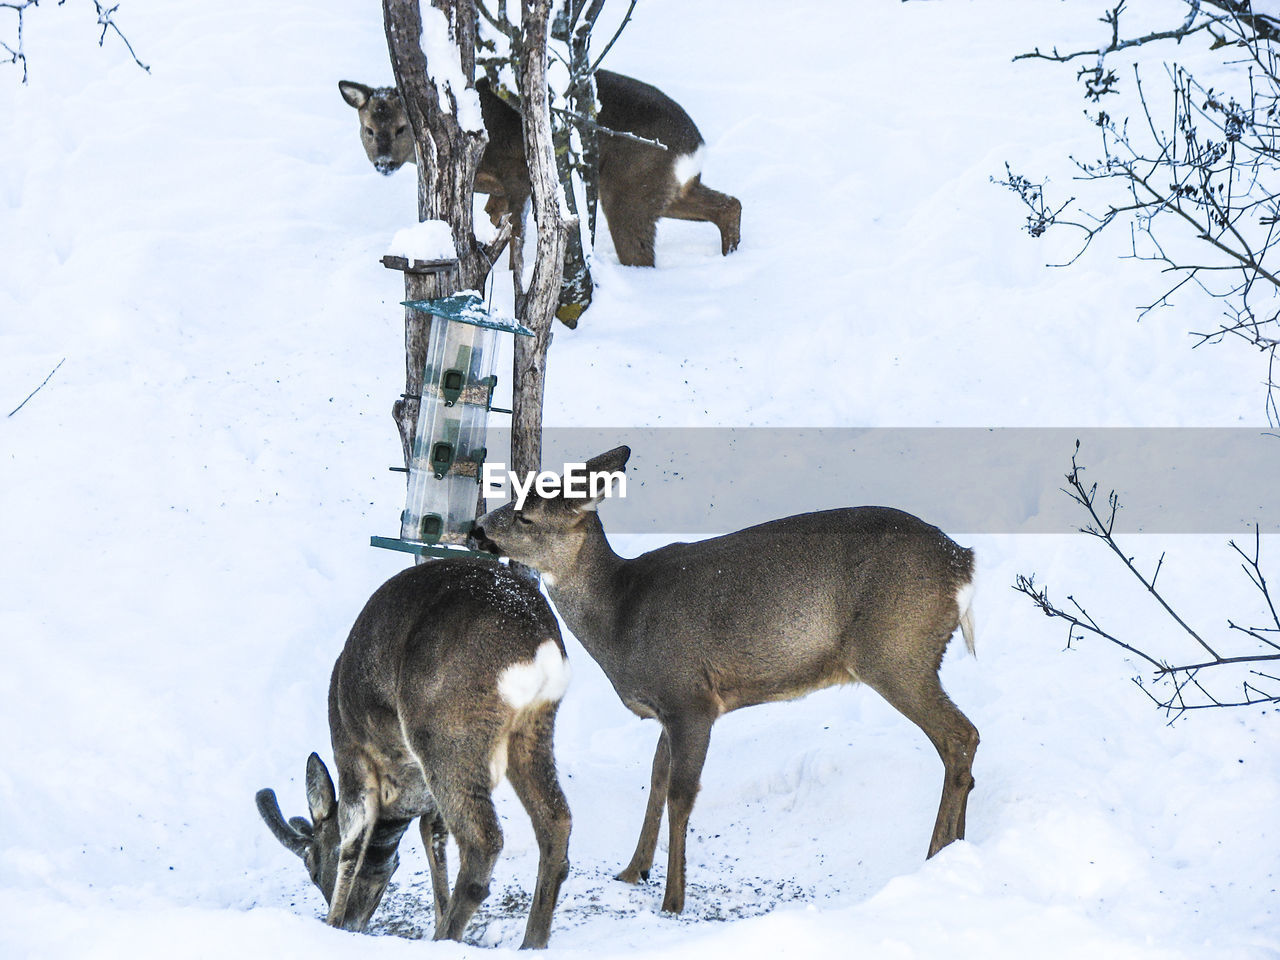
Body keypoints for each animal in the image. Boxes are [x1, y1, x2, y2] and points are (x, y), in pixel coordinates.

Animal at [254, 560, 570, 952]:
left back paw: (448, 937)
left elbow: (352, 840)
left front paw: (332, 925)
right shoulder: (425, 798)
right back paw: (531, 941)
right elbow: (432, 836)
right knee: (555, 818)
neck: (400, 791)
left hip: (446, 734)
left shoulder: (352, 756)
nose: (354, 921)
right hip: (533, 728)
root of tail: (538, 646)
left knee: (484, 838)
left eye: (312, 869)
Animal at [335, 70, 747, 268]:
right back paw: (732, 257)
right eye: (369, 129)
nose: (383, 162)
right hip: (666, 187)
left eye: (400, 128)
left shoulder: (516, 169)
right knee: (730, 204)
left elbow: (516, 231)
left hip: (628, 186)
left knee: (642, 253)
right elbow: (495, 219)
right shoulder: (498, 188)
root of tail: (694, 144)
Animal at [471, 450, 977, 916]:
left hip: (895, 651)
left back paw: (936, 853)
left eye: (526, 515)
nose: (476, 529)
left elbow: (680, 794)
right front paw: (633, 870)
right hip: (910, 654)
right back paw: (956, 849)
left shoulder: (690, 697)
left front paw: (673, 900)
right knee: (961, 741)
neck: (620, 619)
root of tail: (963, 564)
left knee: (960, 735)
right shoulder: (667, 709)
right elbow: (656, 780)